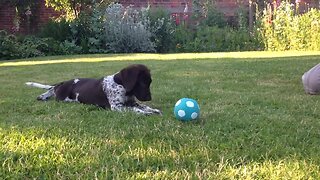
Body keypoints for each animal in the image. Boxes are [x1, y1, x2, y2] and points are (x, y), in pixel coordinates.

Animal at [26, 64, 162, 115]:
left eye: (149, 82)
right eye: (143, 83)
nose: (149, 98)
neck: (122, 87)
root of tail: (64, 82)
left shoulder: (132, 102)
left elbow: (143, 106)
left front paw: (153, 109)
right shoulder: (116, 107)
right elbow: (135, 109)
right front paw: (146, 113)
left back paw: (42, 96)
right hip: (62, 97)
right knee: (53, 90)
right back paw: (43, 96)